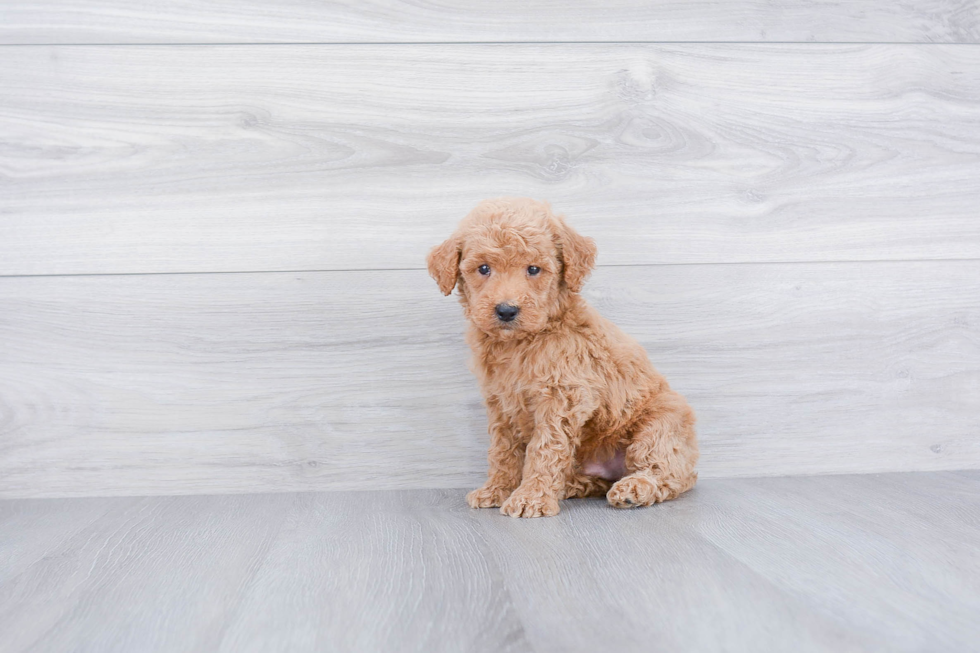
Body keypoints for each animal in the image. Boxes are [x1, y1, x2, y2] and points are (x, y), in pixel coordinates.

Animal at [428, 196, 696, 516]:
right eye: (483, 268)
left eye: (533, 269)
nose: (506, 310)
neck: (520, 342)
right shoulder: (501, 403)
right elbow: (503, 451)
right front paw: (497, 489)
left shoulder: (562, 396)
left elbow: (544, 448)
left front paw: (529, 497)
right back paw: (572, 486)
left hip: (660, 424)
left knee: (670, 474)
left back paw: (634, 488)